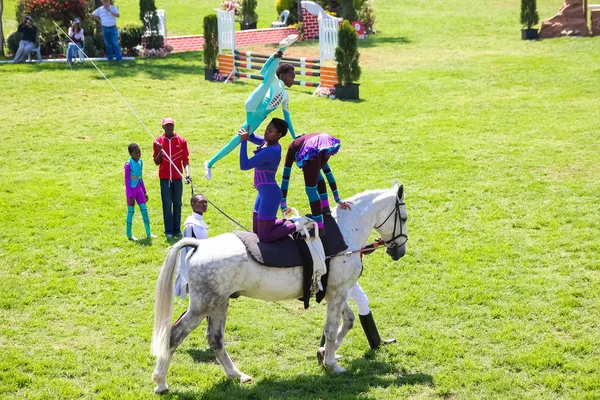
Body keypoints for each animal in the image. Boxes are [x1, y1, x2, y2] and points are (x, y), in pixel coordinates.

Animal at [150, 181, 408, 394]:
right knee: (174, 335)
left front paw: (324, 354)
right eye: (404, 218)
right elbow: (332, 329)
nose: (399, 250)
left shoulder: (336, 293)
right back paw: (161, 382)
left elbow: (347, 322)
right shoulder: (338, 293)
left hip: (219, 303)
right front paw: (331, 363)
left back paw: (236, 375)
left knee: (215, 339)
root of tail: (199, 245)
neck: (345, 233)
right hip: (203, 305)